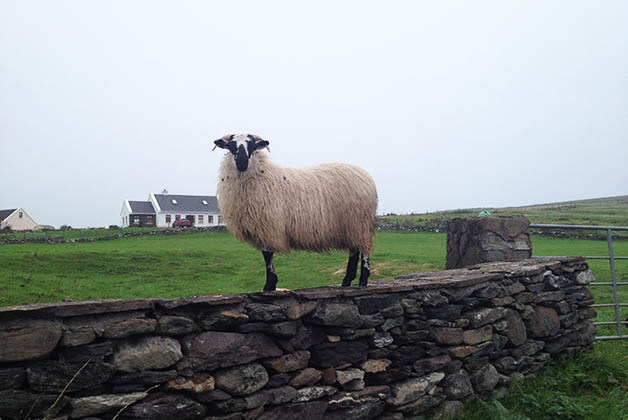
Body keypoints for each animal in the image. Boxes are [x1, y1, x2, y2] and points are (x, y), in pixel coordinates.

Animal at [215, 133, 378, 290]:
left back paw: (363, 281)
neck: (261, 175)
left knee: (364, 251)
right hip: (351, 225)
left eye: (252, 145)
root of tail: (366, 176)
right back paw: (347, 281)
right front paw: (271, 284)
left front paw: (269, 285)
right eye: (231, 146)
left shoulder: (268, 224)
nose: (242, 161)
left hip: (360, 222)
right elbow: (267, 255)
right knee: (354, 251)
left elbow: (267, 255)